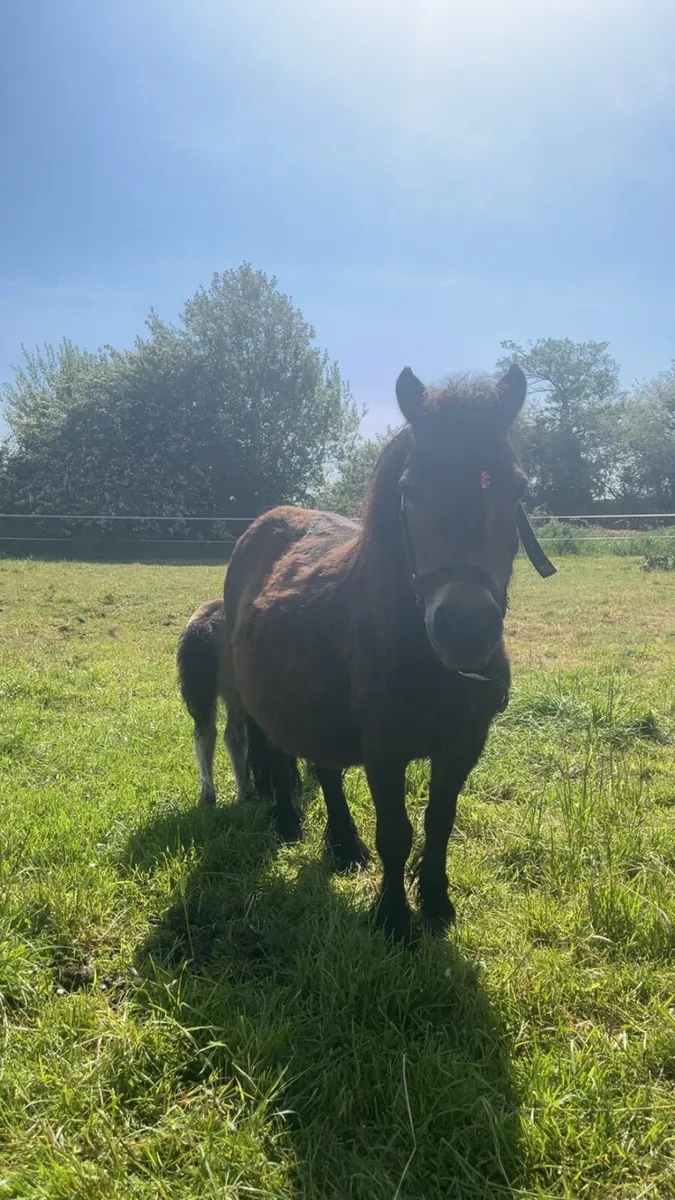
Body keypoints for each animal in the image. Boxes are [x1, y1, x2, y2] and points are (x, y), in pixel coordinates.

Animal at [185, 366, 555, 941]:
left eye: (515, 487)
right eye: (411, 489)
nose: (466, 629)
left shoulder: (464, 744)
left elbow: (439, 822)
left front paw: (436, 904)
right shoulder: (384, 749)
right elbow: (396, 832)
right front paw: (393, 920)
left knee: (325, 768)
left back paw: (341, 845)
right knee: (279, 752)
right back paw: (289, 822)